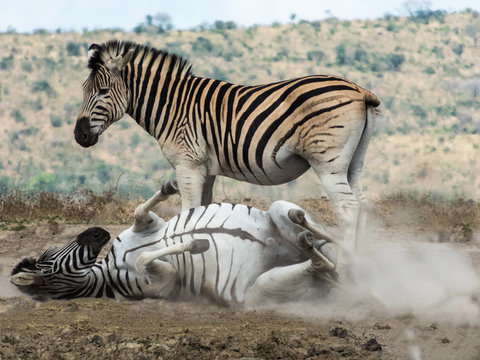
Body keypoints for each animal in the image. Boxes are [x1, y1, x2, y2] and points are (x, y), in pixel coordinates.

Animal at [8, 180, 338, 304]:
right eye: (50, 257)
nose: (97, 231)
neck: (107, 271)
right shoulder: (161, 283)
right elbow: (146, 258)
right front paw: (197, 245)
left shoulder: (148, 225)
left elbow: (140, 211)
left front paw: (169, 187)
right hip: (261, 288)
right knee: (319, 265)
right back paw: (318, 253)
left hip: (279, 210)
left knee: (309, 226)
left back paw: (332, 239)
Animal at [75, 40, 380, 252]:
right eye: (84, 91)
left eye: (103, 91)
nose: (79, 136)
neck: (172, 107)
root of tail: (359, 89)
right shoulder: (205, 169)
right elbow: (202, 213)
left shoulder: (188, 165)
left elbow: (188, 212)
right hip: (353, 162)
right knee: (363, 204)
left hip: (328, 163)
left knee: (348, 208)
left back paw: (349, 264)